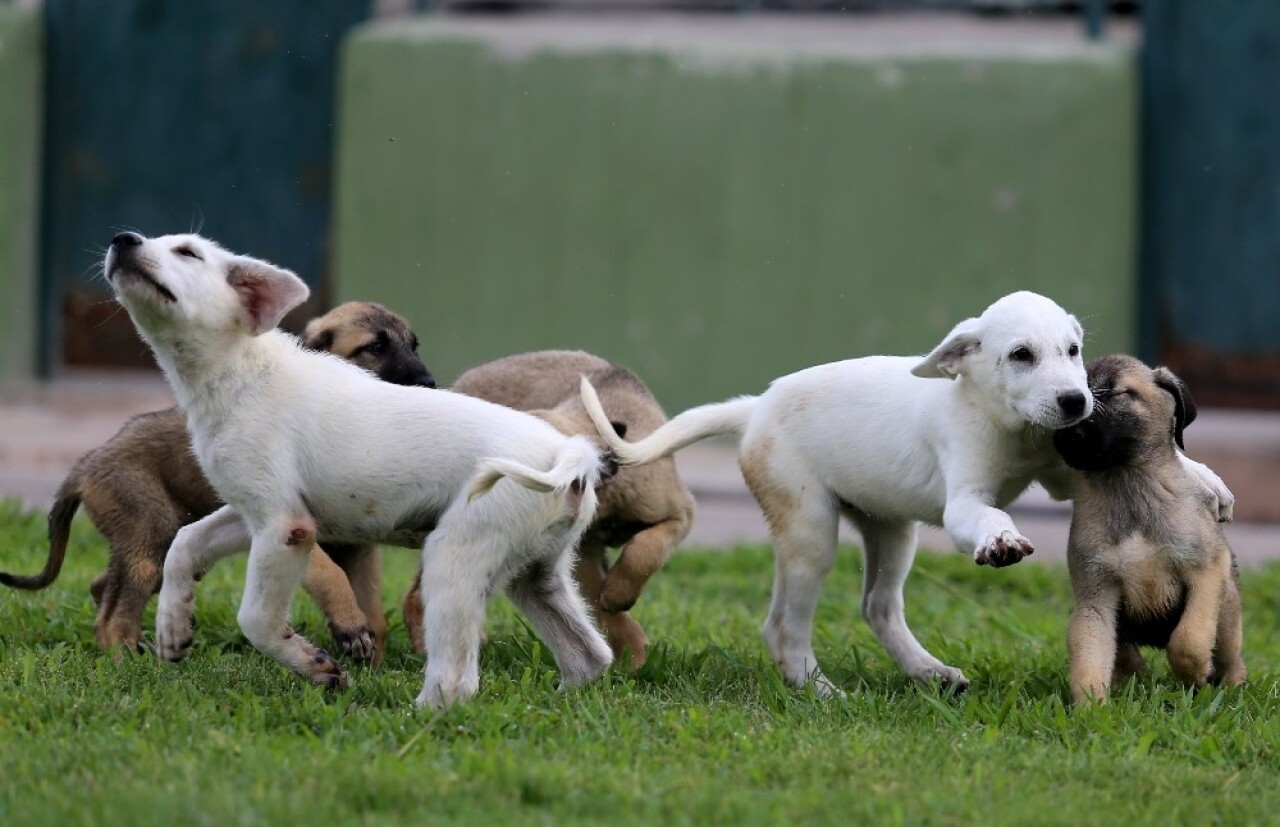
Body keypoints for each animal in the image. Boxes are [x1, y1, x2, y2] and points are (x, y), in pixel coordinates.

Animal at [0, 299, 435, 660]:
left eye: (415, 346)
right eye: (374, 348)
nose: (429, 385)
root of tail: (88, 461)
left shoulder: (360, 548)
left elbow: (373, 611)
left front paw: (370, 663)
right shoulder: (287, 525)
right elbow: (332, 576)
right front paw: (350, 627)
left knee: (104, 586)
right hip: (149, 528)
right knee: (113, 614)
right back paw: (126, 659)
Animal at [104, 230, 614, 711]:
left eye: (188, 253)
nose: (122, 240)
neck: (241, 370)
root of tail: (568, 453)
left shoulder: (284, 526)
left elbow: (255, 619)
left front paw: (314, 666)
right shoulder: (253, 512)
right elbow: (185, 543)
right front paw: (172, 627)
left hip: (454, 559)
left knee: (456, 682)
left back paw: (413, 714)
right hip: (535, 578)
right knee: (591, 656)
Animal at [401, 350, 696, 665]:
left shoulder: (678, 515)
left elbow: (643, 552)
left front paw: (621, 611)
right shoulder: (584, 552)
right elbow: (606, 604)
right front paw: (631, 650)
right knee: (417, 595)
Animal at [578, 291, 1228, 691]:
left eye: (1072, 351)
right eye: (1021, 355)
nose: (1075, 402)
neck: (1008, 424)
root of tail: (755, 408)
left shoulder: (1064, 470)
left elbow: (1166, 465)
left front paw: (1208, 482)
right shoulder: (964, 500)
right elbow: (986, 515)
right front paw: (1000, 539)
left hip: (891, 532)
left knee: (877, 606)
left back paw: (929, 674)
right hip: (811, 531)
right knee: (785, 623)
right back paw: (818, 689)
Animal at [1054, 355, 1244, 706]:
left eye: (1116, 393)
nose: (1069, 433)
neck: (1127, 484)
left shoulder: (1206, 571)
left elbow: (1189, 640)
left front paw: (1195, 675)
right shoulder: (1095, 599)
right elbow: (1089, 660)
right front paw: (1092, 711)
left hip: (1226, 611)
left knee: (1231, 659)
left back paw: (1232, 688)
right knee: (1127, 659)